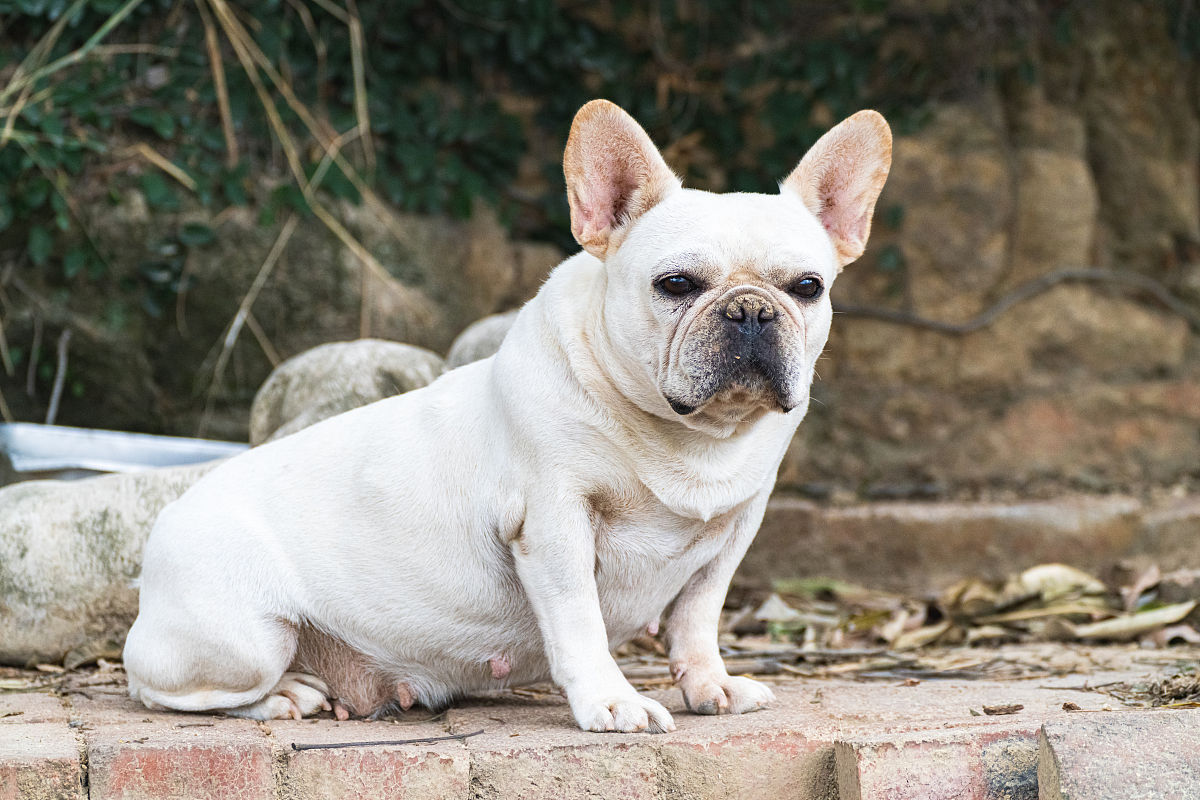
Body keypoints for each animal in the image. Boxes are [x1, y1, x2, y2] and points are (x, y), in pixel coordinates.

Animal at [124, 98, 892, 734]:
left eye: (808, 287)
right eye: (675, 284)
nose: (751, 311)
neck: (687, 437)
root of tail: (159, 546)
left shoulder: (734, 532)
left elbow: (699, 615)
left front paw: (711, 686)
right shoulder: (554, 525)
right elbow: (581, 620)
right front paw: (611, 702)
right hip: (245, 639)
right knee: (166, 692)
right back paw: (286, 695)